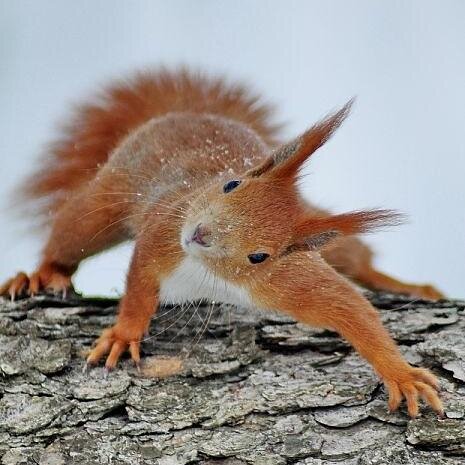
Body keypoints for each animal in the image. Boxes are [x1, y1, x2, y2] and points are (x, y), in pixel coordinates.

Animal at [0, 69, 442, 416]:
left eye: (259, 255)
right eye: (232, 184)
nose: (199, 233)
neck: (207, 273)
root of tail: (197, 114)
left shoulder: (289, 281)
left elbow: (350, 308)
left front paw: (401, 374)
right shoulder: (165, 230)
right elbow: (140, 285)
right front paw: (125, 334)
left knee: (357, 259)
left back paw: (407, 285)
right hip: (108, 198)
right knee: (69, 234)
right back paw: (38, 275)